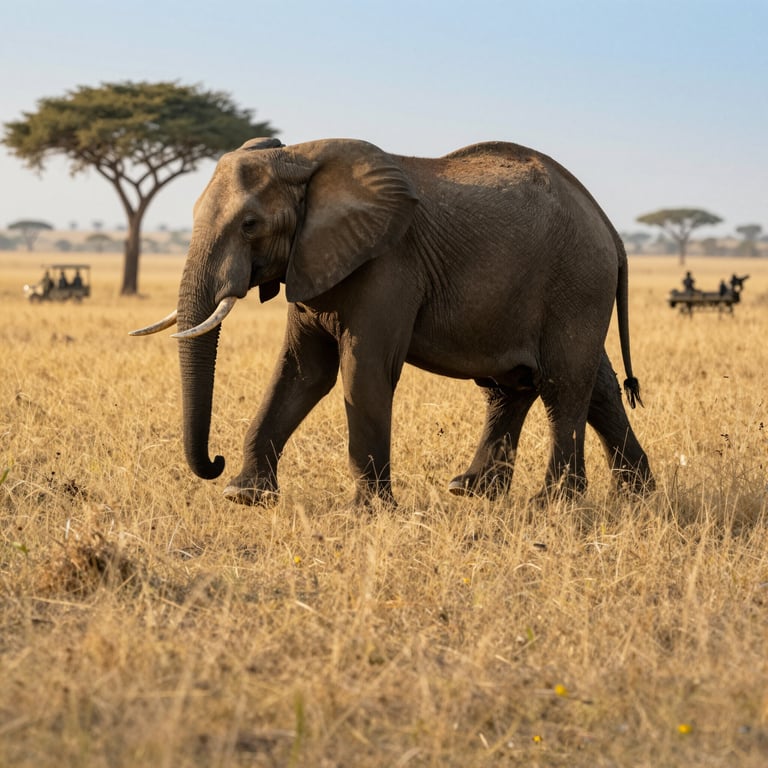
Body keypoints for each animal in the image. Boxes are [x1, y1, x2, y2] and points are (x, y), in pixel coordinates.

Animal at [131, 136, 653, 507]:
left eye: (249, 225)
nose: (214, 461)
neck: (299, 157)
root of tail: (610, 228)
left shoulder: (388, 264)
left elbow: (363, 370)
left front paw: (370, 511)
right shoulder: (313, 260)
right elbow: (302, 372)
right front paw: (244, 496)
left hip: (576, 280)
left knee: (561, 383)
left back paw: (554, 504)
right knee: (555, 385)